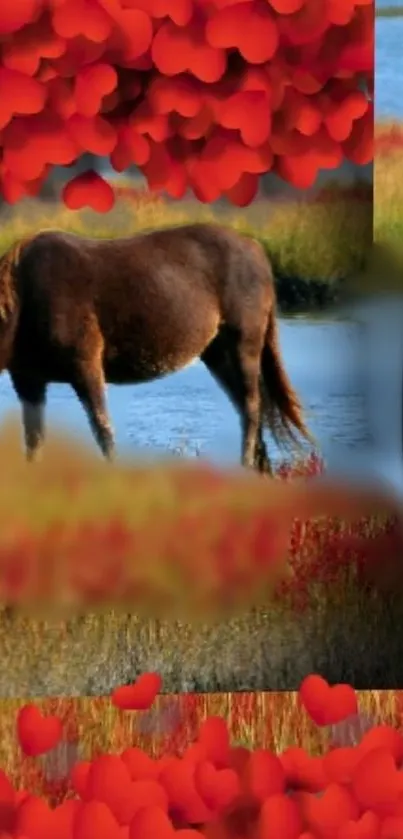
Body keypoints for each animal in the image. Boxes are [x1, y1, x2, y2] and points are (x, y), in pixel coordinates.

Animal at [0, 226, 312, 470]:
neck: (25, 298)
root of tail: (256, 249)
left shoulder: (85, 367)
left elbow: (103, 430)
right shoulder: (27, 379)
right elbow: (34, 440)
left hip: (244, 345)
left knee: (251, 409)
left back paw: (246, 467)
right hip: (218, 355)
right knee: (248, 409)